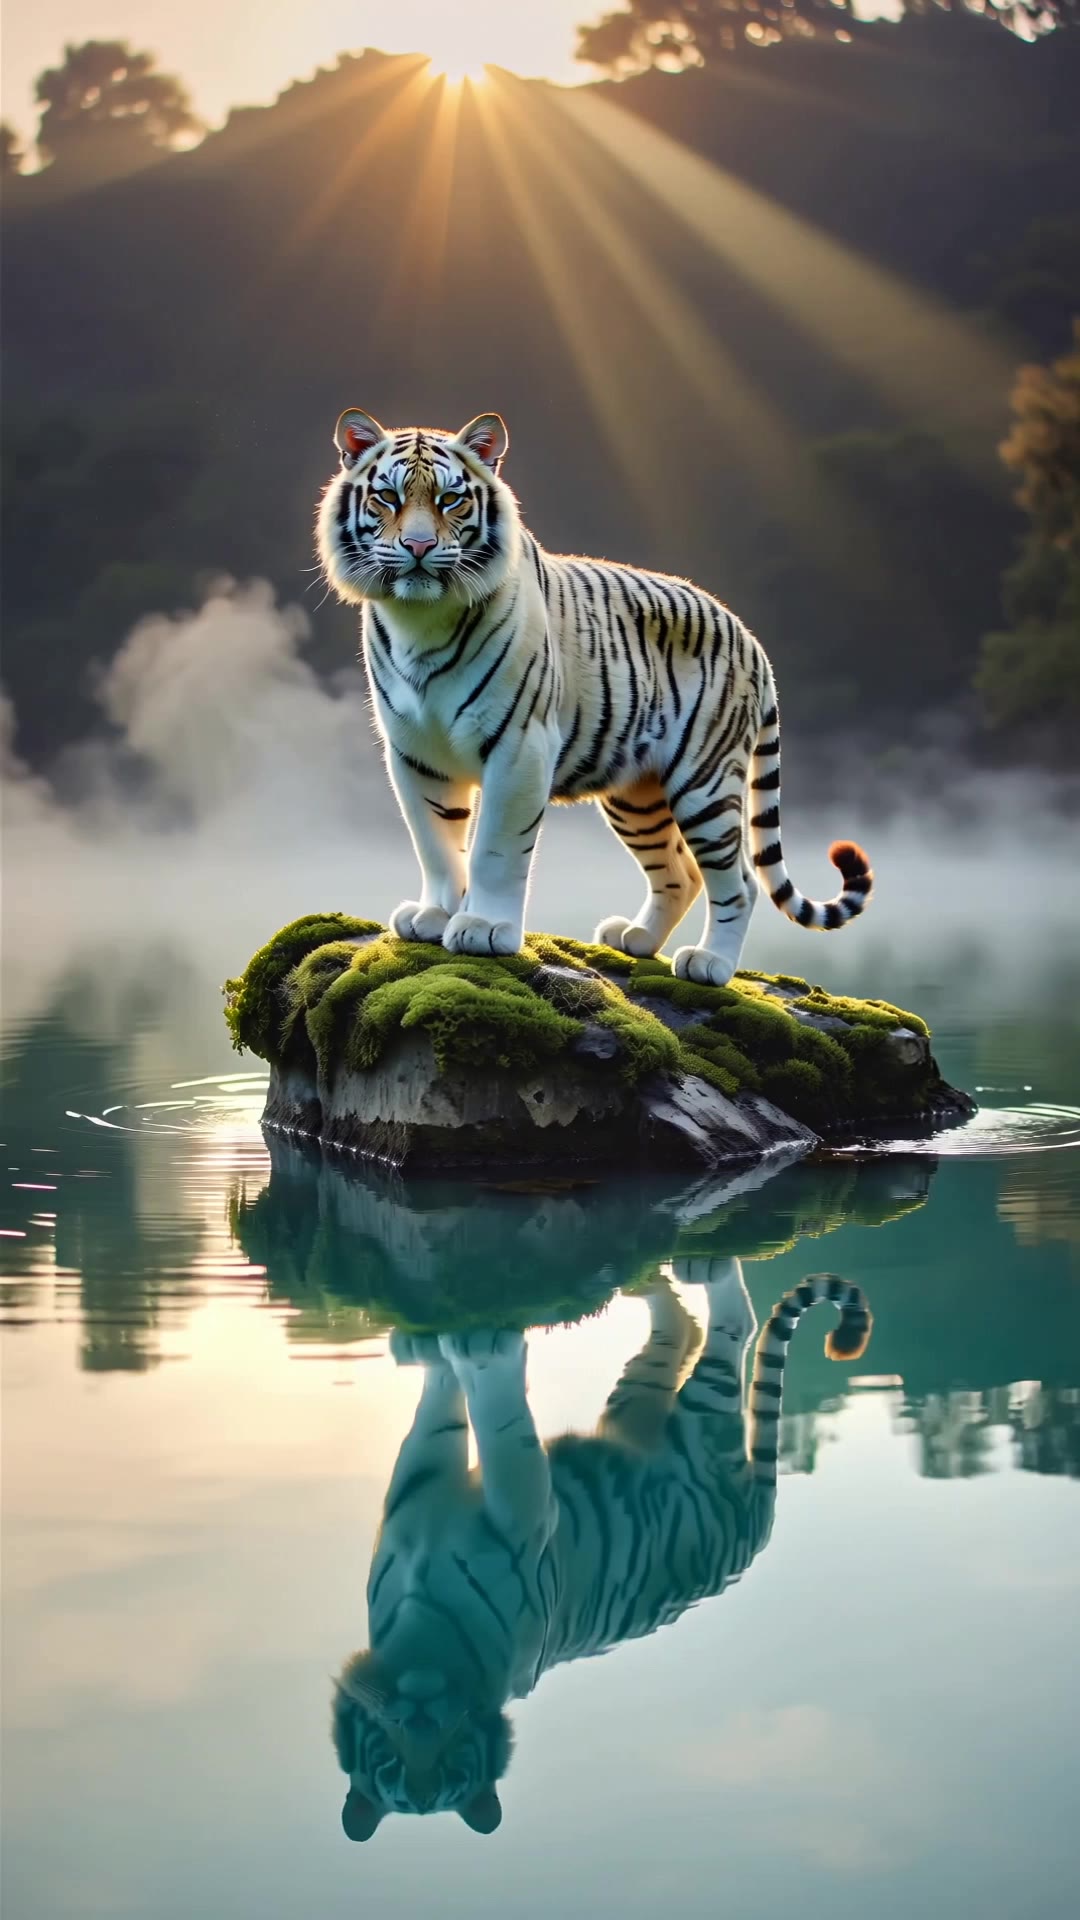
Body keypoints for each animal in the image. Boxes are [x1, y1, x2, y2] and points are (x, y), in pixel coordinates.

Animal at [317, 410, 873, 986]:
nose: (420, 547)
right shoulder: (416, 754)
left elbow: (494, 847)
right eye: (387, 497)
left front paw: (484, 930)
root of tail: (749, 636)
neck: (421, 619)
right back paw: (636, 938)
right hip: (637, 794)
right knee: (680, 870)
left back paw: (710, 963)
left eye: (451, 500)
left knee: (737, 878)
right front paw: (433, 916)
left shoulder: (519, 746)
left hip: (706, 780)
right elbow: (437, 845)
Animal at [332, 1263, 872, 1839]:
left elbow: (496, 1416)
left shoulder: (524, 1516)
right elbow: (440, 1408)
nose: (420, 1728)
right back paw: (646, 1286)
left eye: (453, 1768)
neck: (427, 1648)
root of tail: (760, 1530)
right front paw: (424, 1344)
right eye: (391, 1767)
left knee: (734, 1327)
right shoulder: (425, 1489)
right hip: (636, 1400)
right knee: (682, 1330)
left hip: (704, 1418)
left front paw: (479, 1345)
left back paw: (703, 1270)